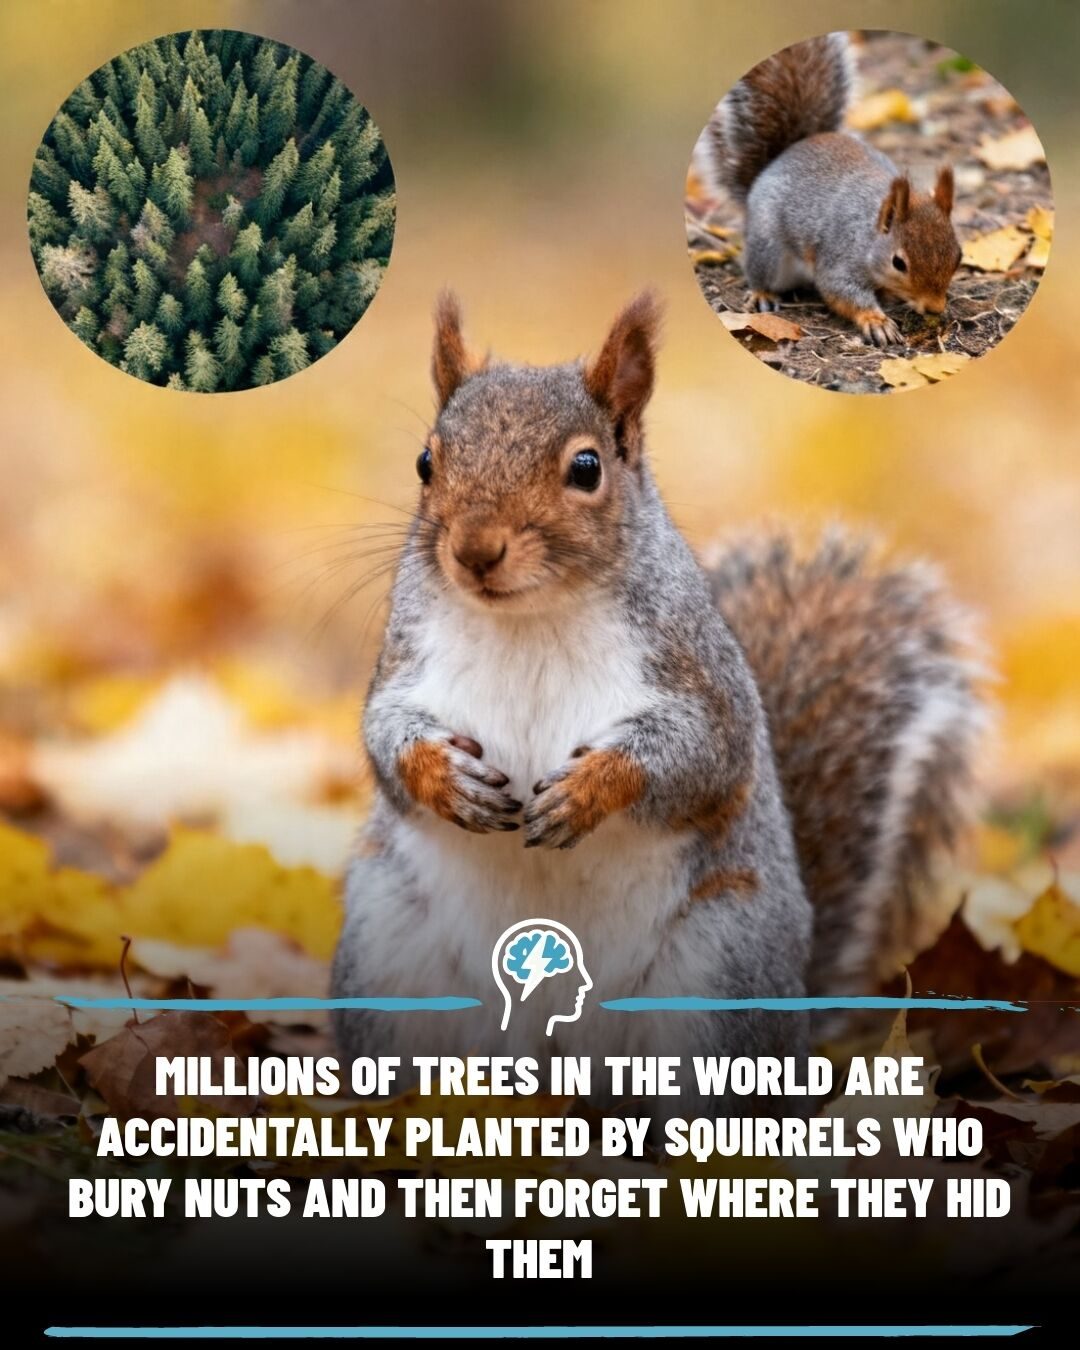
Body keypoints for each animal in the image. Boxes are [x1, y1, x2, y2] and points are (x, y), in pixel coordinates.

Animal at [331, 292, 983, 1101]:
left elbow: (696, 759)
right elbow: (384, 738)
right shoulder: (406, 665)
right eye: (426, 463)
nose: (475, 551)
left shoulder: (702, 683)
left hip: (716, 979)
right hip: (391, 953)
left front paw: (587, 792)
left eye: (587, 468)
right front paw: (444, 778)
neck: (529, 620)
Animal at [704, 32, 962, 346]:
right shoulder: (839, 257)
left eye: (958, 256)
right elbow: (840, 292)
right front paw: (876, 321)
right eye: (898, 263)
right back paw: (762, 293)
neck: (869, 232)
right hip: (767, 247)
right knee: (760, 271)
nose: (935, 308)